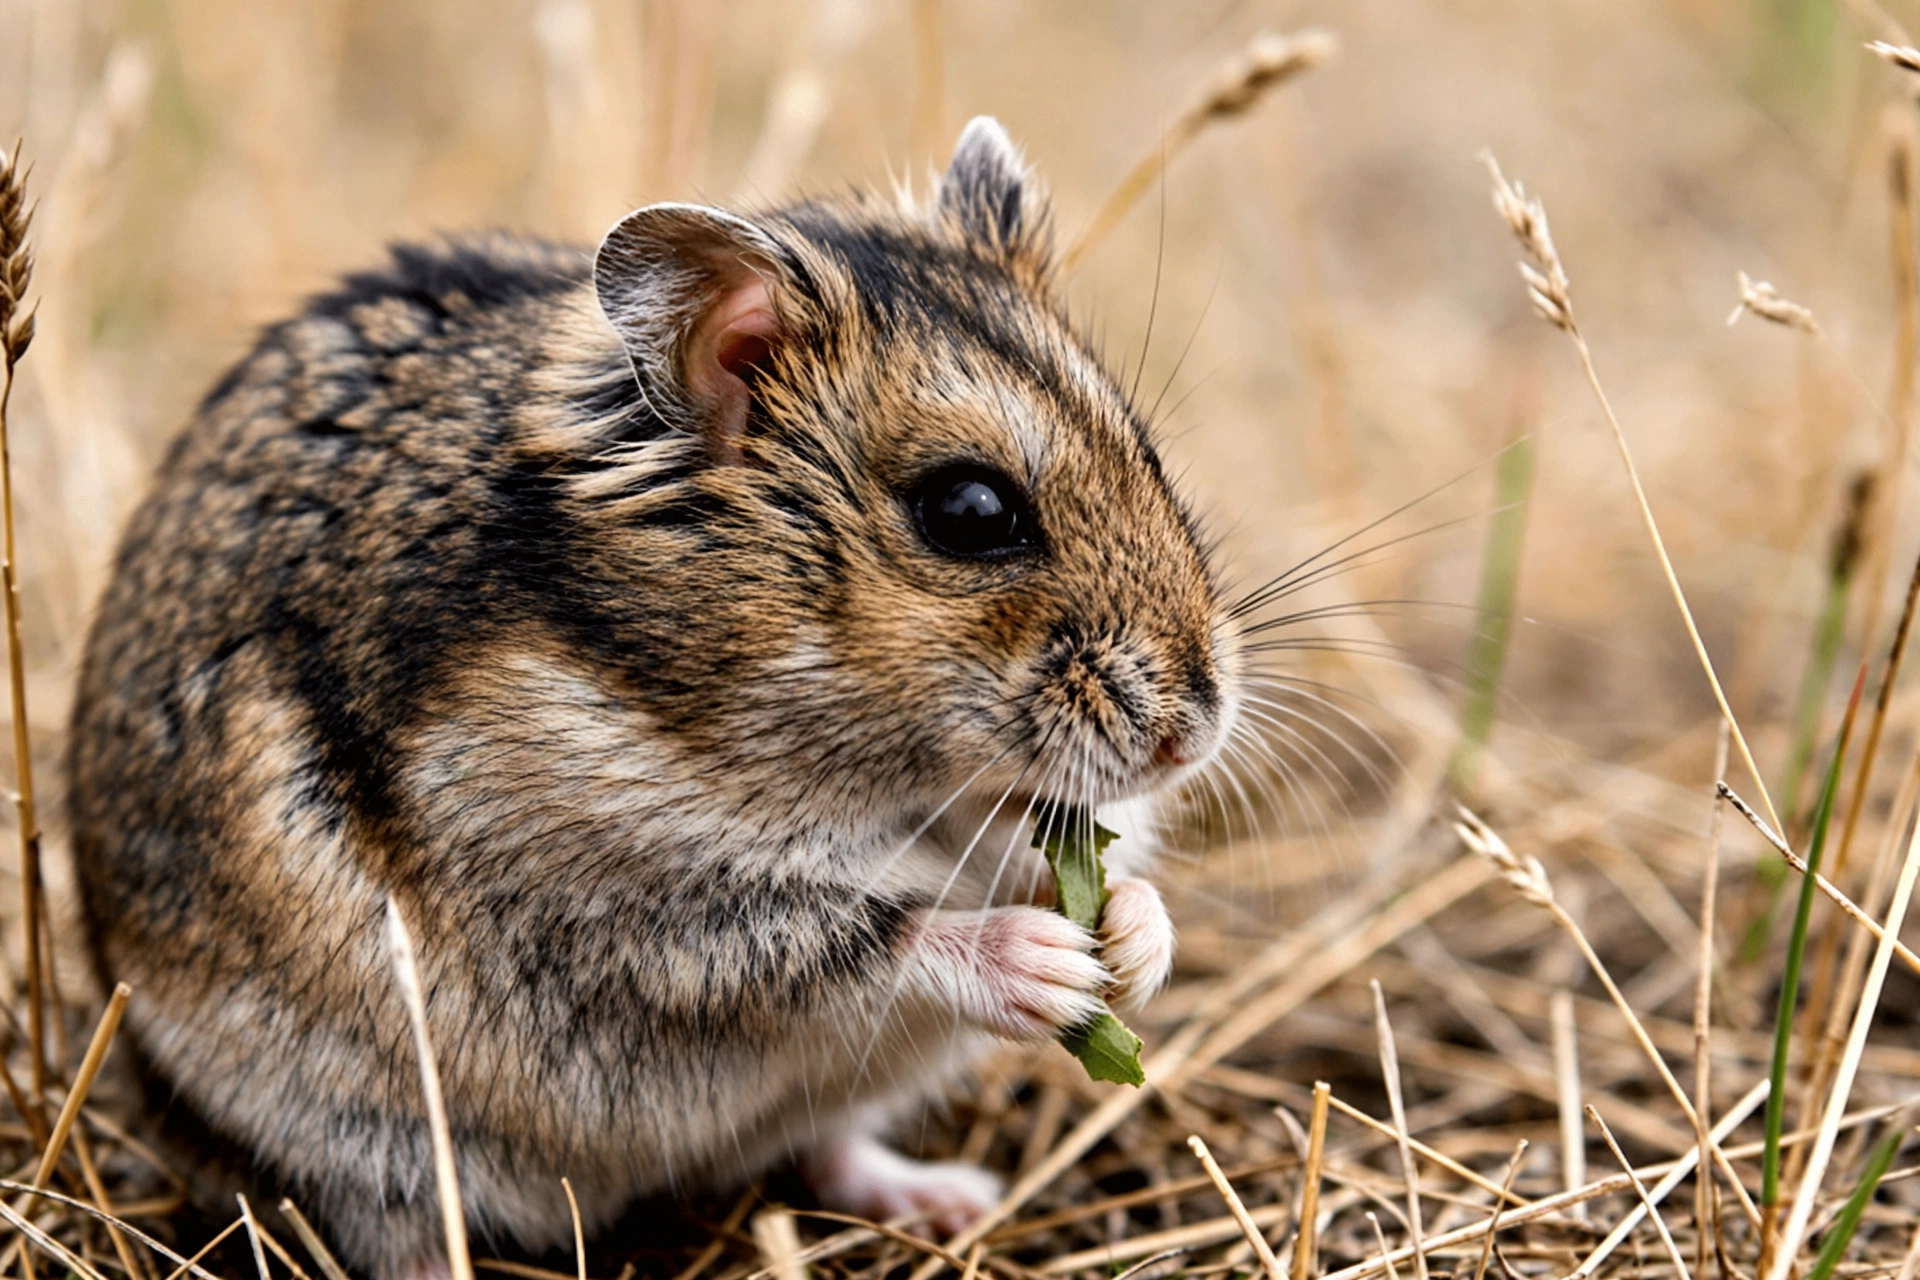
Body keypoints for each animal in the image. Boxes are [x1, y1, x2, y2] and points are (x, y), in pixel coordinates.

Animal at [67, 118, 1241, 1280]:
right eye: (968, 510)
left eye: (1147, 450)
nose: (1192, 733)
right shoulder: (636, 908)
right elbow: (876, 933)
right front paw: (1054, 964)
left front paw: (1134, 941)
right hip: (358, 1143)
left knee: (830, 1146)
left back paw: (947, 1198)